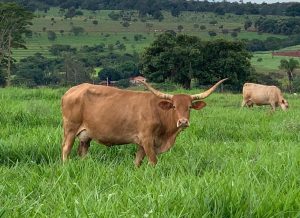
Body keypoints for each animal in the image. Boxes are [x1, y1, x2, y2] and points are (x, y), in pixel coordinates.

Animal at [61, 79, 227, 166]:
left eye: (189, 107)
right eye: (174, 106)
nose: (183, 122)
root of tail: (72, 90)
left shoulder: (141, 143)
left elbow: (138, 161)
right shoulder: (147, 139)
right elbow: (153, 161)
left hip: (86, 135)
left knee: (83, 151)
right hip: (70, 129)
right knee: (66, 149)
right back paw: (65, 166)